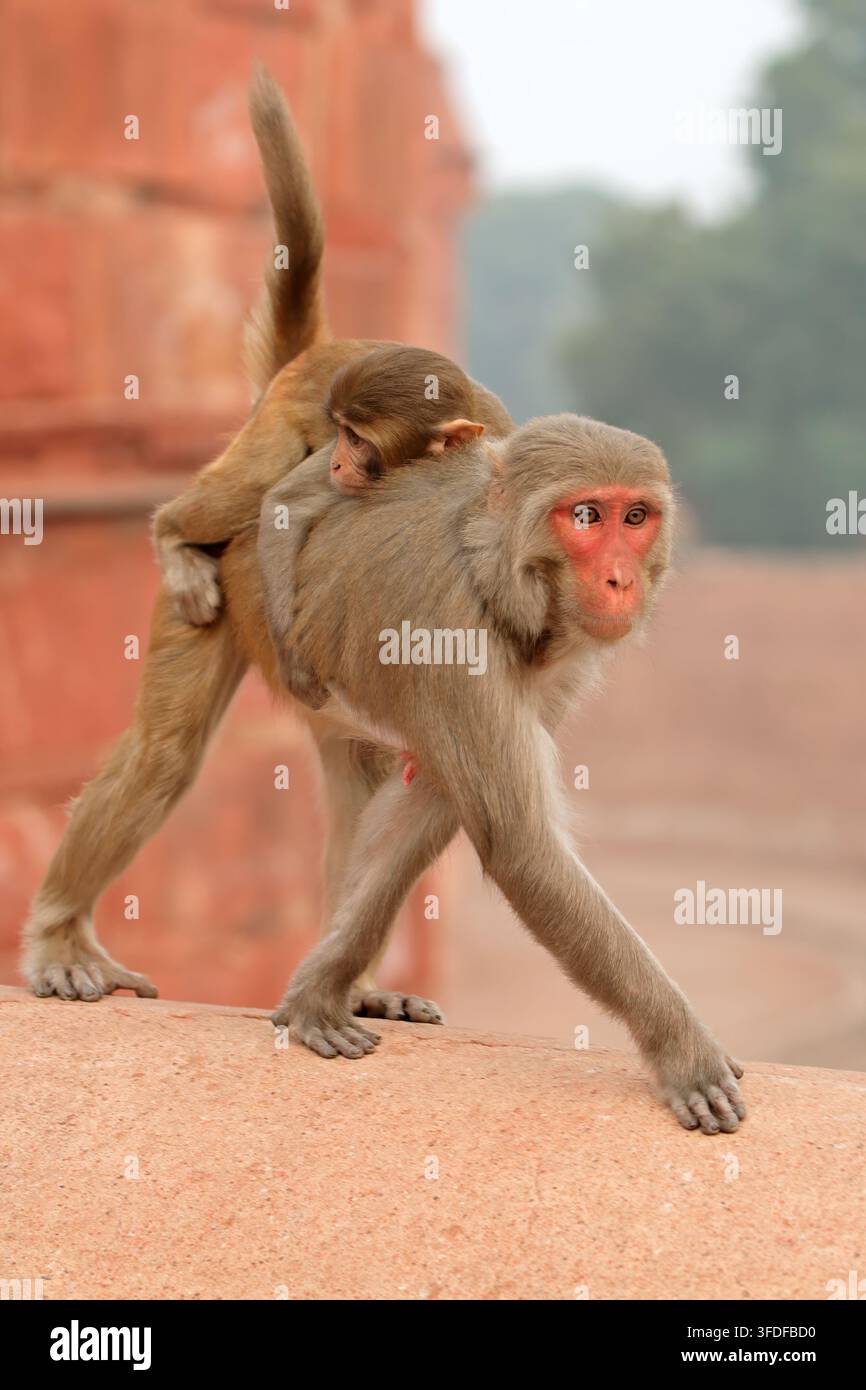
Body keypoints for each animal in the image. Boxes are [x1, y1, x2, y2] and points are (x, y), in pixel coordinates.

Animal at [256, 414, 747, 1135]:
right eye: (585, 516)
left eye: (636, 516)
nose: (621, 581)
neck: (495, 576)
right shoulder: (449, 632)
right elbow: (521, 843)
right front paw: (683, 1050)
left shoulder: (561, 657)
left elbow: (431, 798)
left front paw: (319, 988)